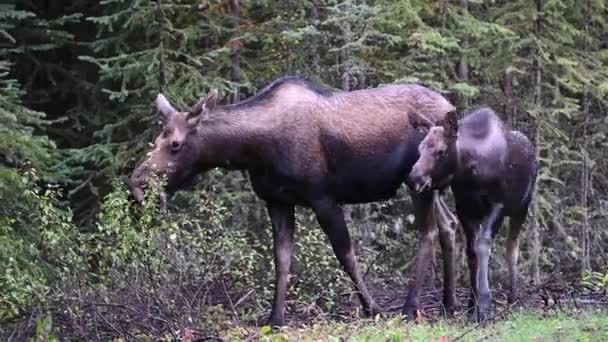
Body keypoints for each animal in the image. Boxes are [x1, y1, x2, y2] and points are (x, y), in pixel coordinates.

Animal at [131, 76, 458, 328]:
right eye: (156, 140)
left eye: (175, 144)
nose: (137, 182)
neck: (252, 151)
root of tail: (452, 108)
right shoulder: (276, 201)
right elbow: (282, 260)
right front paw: (275, 319)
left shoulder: (323, 197)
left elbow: (346, 255)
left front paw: (372, 308)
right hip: (431, 186)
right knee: (449, 225)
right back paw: (450, 304)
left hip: (419, 183)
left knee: (428, 232)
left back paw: (410, 307)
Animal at [408, 107, 536, 320]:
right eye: (419, 149)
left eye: (441, 151)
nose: (414, 178)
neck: (470, 171)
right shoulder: (465, 208)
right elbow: (471, 252)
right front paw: (471, 304)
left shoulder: (498, 204)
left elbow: (484, 246)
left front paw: (484, 306)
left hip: (522, 207)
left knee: (512, 247)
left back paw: (513, 297)